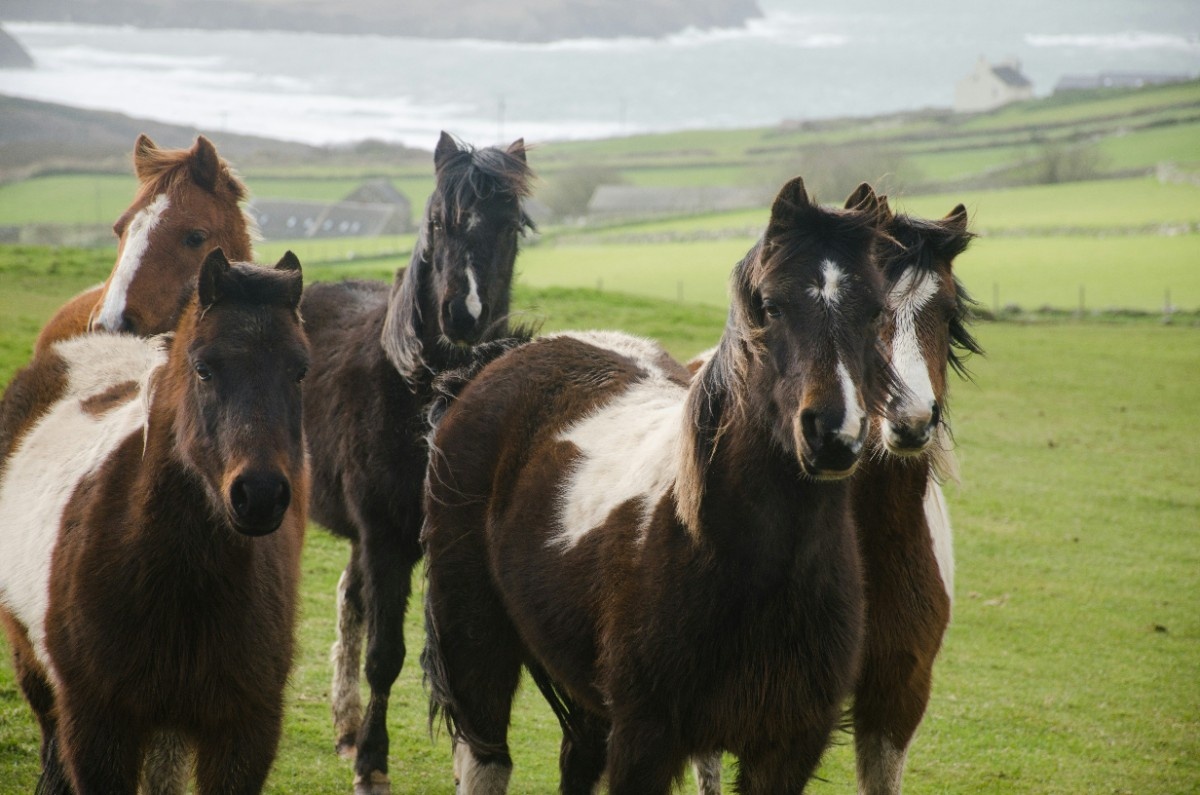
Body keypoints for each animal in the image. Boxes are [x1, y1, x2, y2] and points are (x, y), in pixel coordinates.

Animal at [297, 132, 532, 795]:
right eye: (436, 221)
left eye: (512, 226)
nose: (464, 314)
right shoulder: (386, 537)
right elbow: (387, 657)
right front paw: (373, 763)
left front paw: (467, 756)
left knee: (350, 597)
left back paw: (345, 725)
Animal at [417, 177, 897, 792]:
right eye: (771, 305)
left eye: (877, 310)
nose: (833, 433)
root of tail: (494, 364)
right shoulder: (646, 738)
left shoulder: (787, 748)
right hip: (475, 641)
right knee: (485, 758)